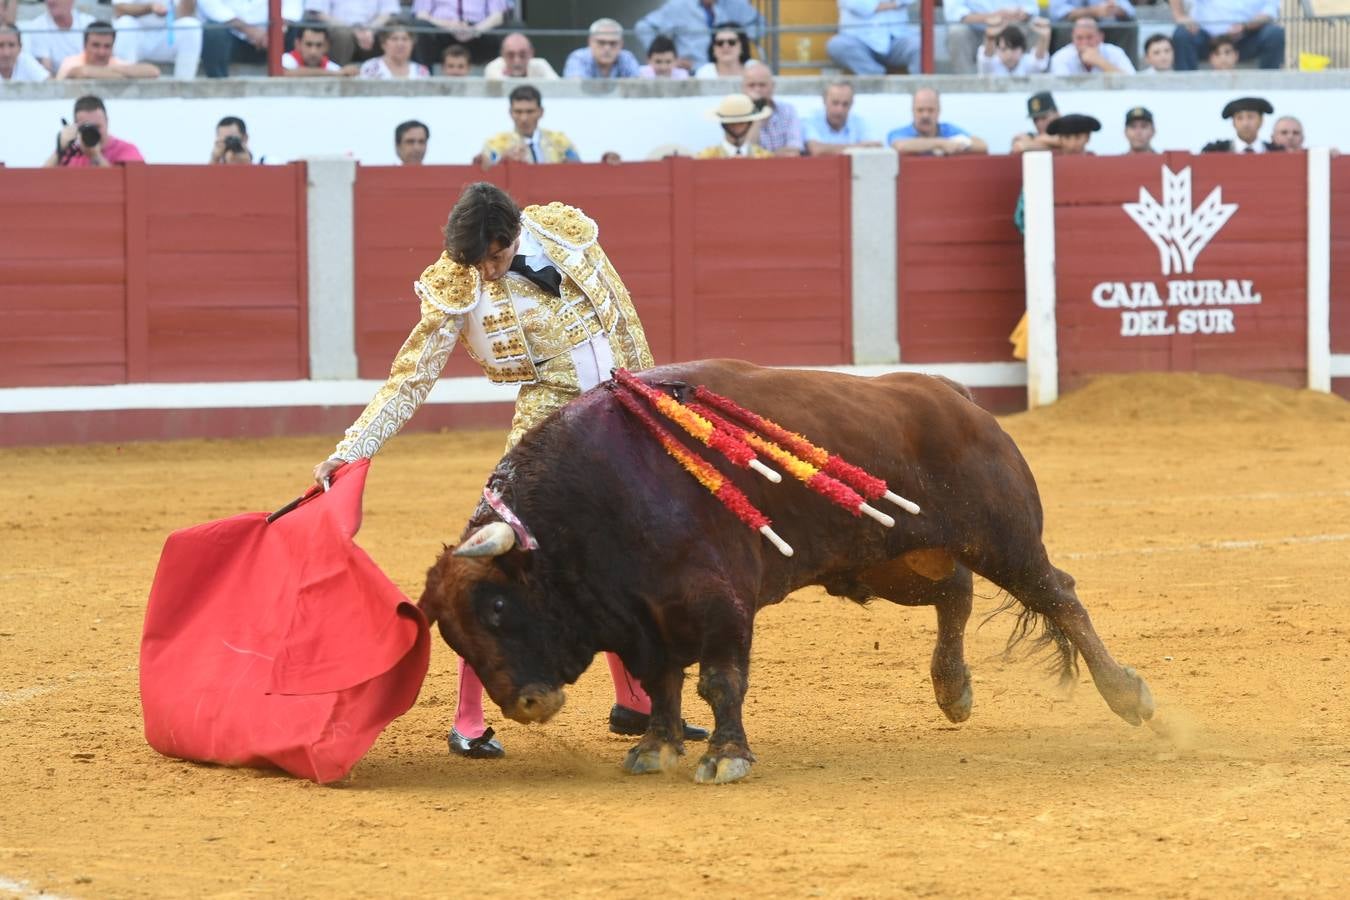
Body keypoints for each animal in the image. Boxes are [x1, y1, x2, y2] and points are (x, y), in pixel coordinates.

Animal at [415, 358, 1155, 782]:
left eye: (498, 608)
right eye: (452, 637)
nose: (527, 705)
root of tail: (953, 396)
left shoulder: (719, 603)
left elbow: (719, 681)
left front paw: (726, 758)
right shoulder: (644, 619)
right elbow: (661, 686)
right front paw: (655, 749)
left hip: (1001, 537)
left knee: (1059, 597)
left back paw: (1129, 696)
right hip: (893, 561)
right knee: (956, 593)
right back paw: (954, 690)